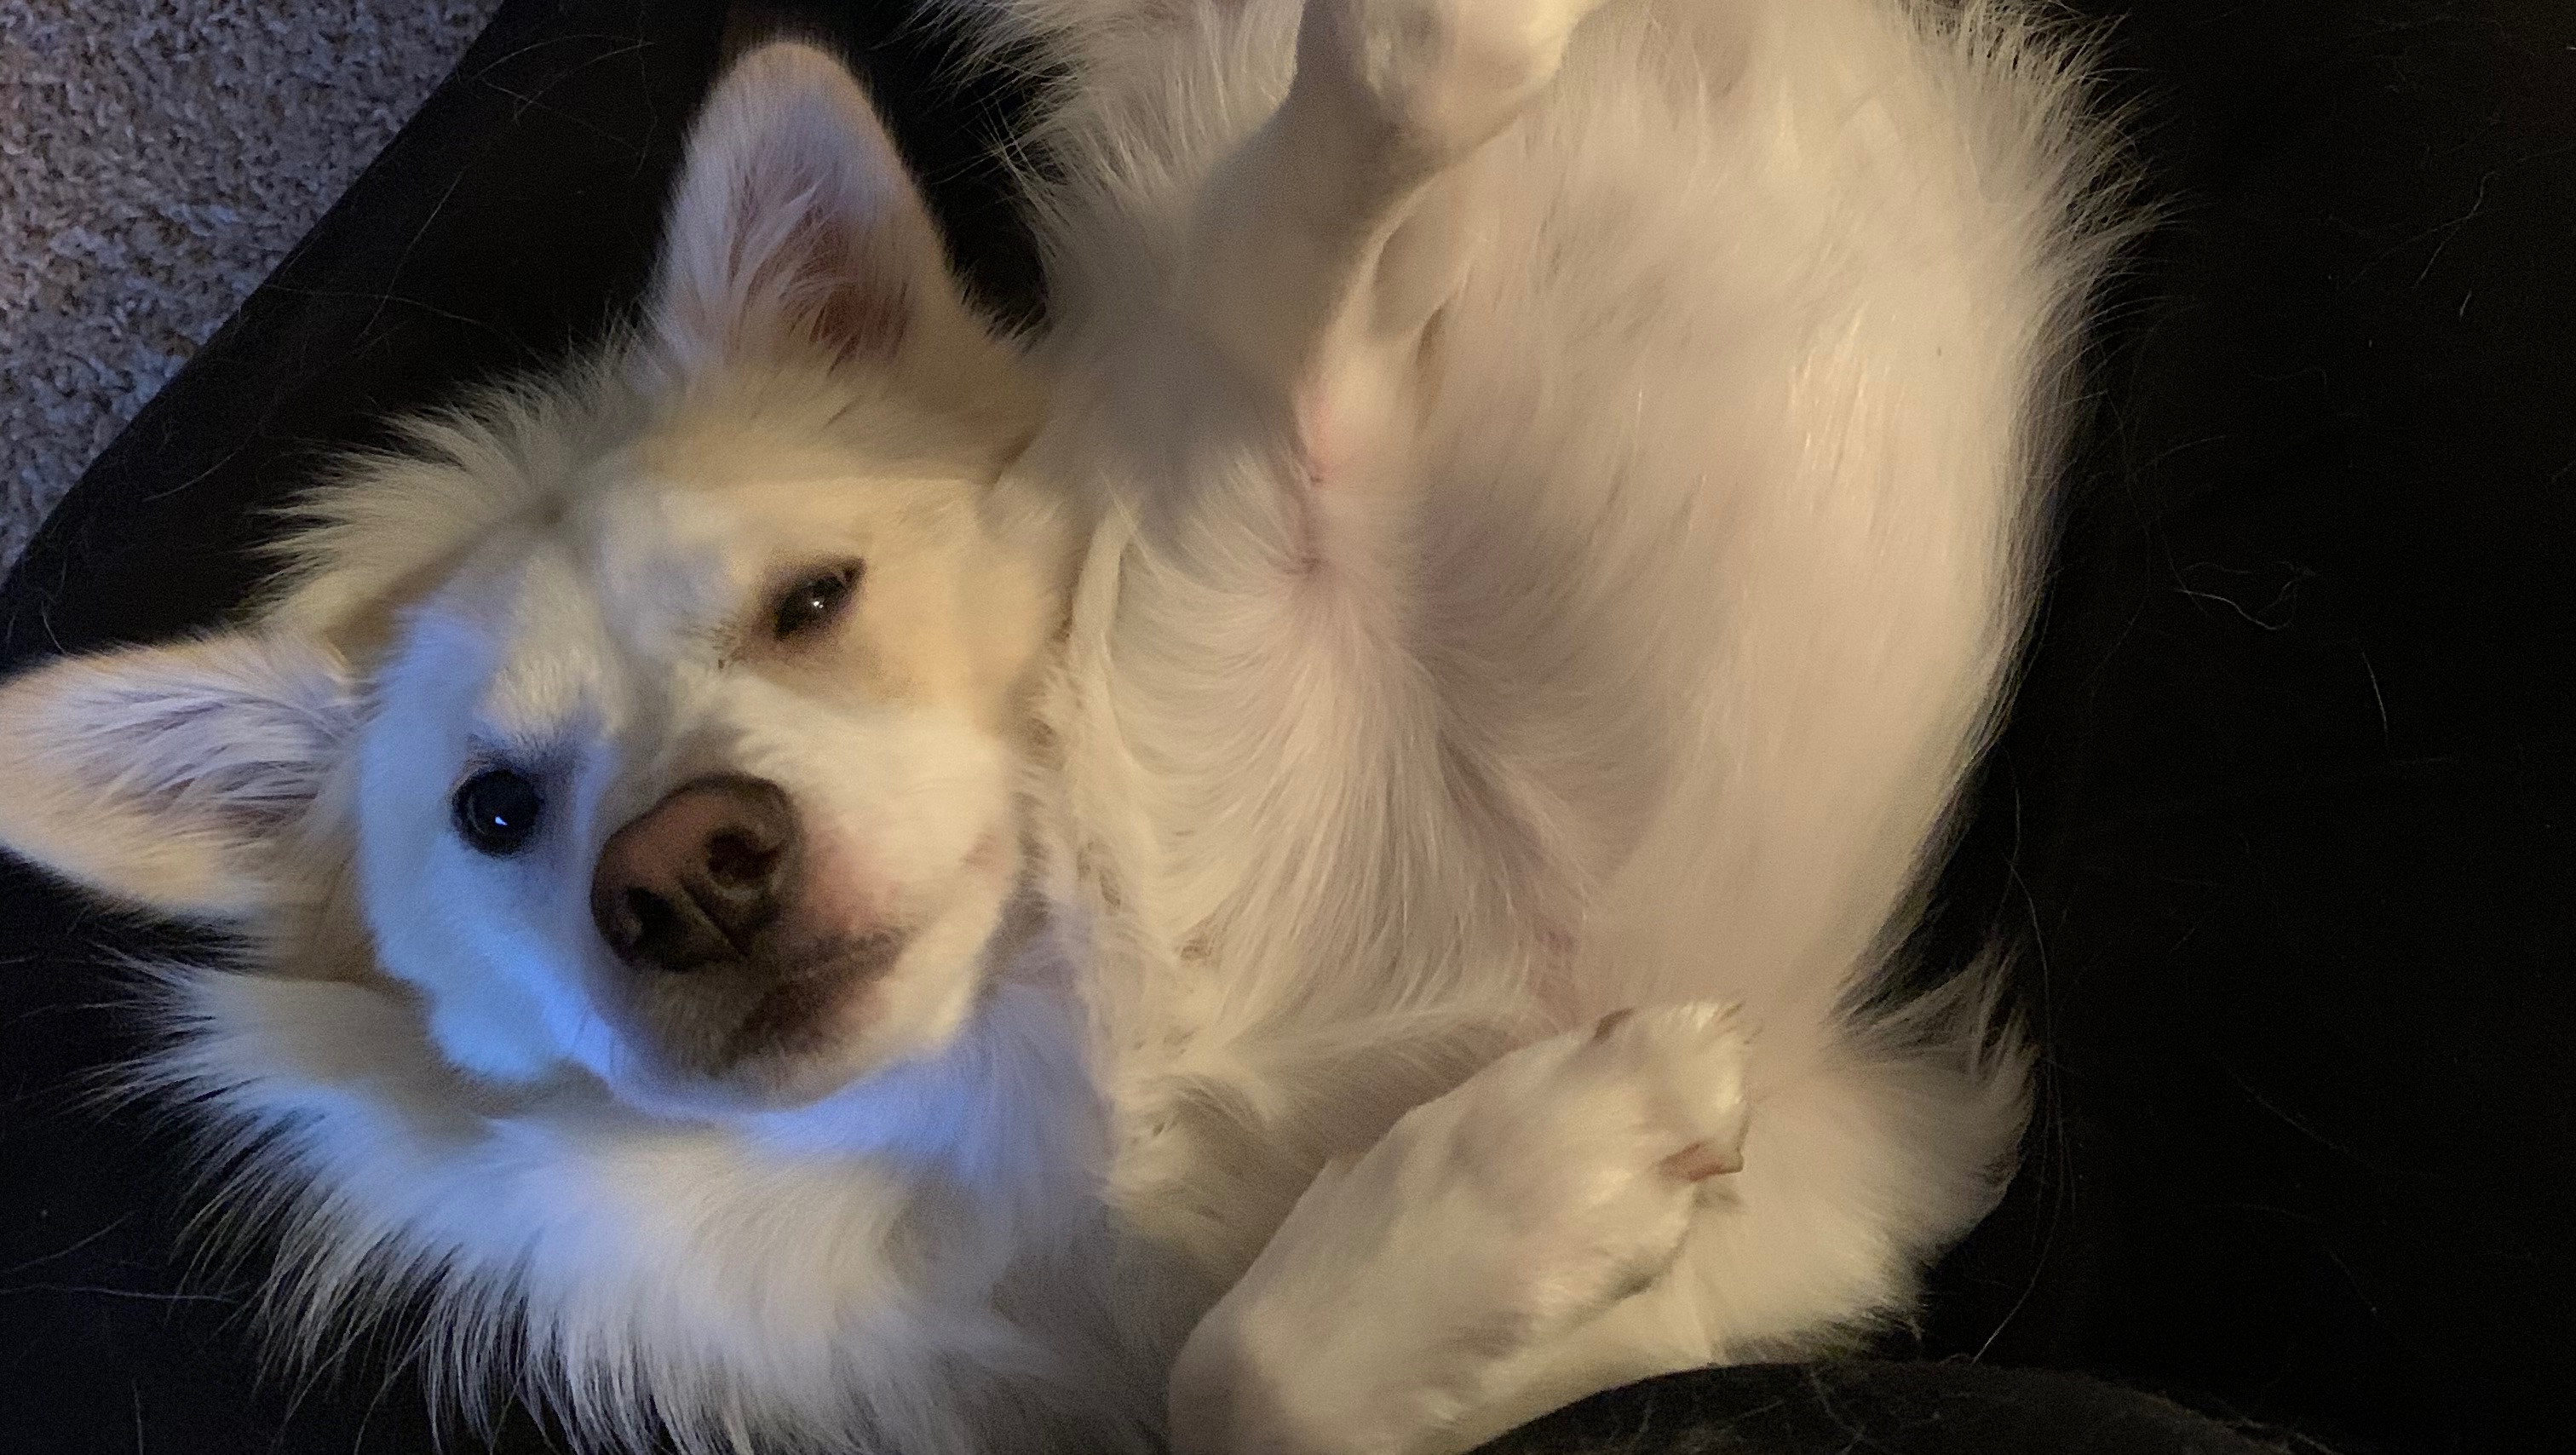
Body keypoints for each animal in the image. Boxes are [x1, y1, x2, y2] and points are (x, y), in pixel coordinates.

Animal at [0, 0, 2127, 1450]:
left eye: (814, 600)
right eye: (496, 811)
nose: (688, 868)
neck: (1067, 1017)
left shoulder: (1279, 439)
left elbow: (1338, 150)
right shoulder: (1831, 1208)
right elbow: (1231, 1375)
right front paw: (1527, 1190)